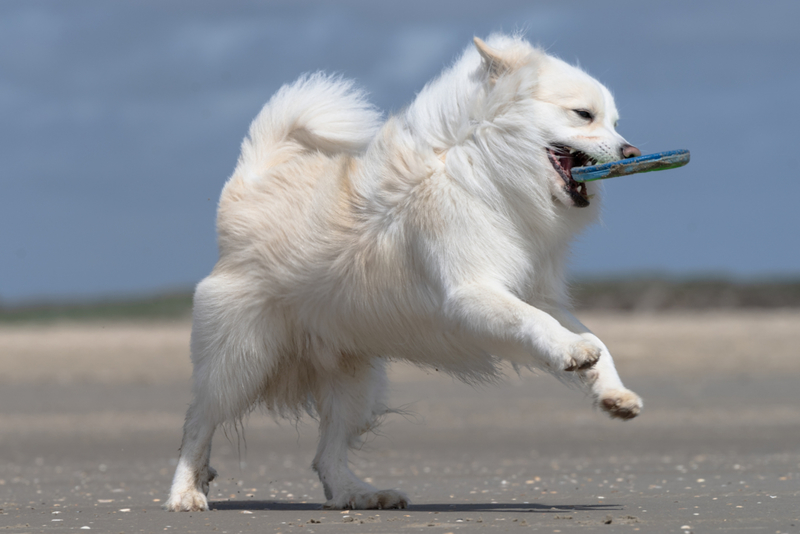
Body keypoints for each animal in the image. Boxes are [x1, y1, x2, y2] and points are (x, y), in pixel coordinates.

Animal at [167, 34, 644, 516]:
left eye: (615, 122)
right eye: (583, 114)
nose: (632, 153)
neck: (484, 164)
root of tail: (247, 183)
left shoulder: (536, 293)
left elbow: (591, 337)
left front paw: (611, 393)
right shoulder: (472, 292)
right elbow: (536, 323)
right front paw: (573, 353)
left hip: (353, 384)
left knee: (327, 454)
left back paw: (358, 495)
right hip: (239, 360)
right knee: (198, 424)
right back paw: (185, 493)